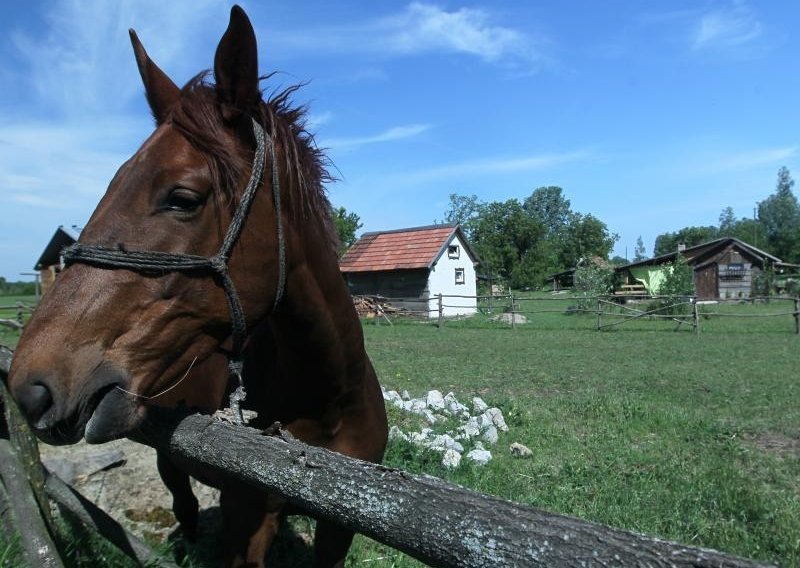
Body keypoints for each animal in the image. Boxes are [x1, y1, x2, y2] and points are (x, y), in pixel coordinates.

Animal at [6, 5, 388, 568]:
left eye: (183, 198)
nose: (30, 386)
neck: (326, 399)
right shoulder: (247, 519)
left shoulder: (340, 527)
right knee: (181, 497)